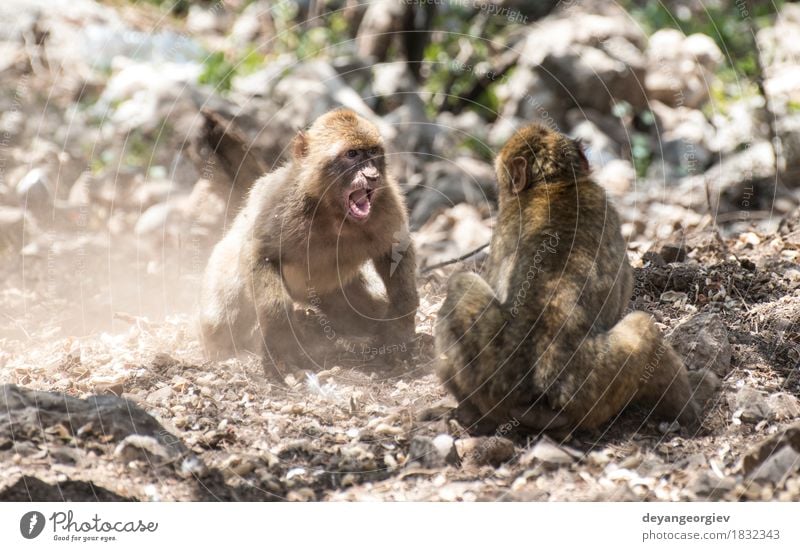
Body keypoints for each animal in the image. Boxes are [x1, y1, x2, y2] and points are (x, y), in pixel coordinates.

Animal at [199, 108, 418, 366]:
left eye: (373, 152)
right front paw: (282, 339)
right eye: (352, 154)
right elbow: (259, 254)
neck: (334, 211)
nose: (372, 175)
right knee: (224, 307)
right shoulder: (282, 205)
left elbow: (395, 249)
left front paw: (400, 325)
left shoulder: (387, 201)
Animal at [438, 125, 708, 436]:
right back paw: (691, 408)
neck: (551, 184)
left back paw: (470, 413)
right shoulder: (605, 206)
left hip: (496, 381)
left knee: (460, 285)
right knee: (644, 328)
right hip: (592, 389)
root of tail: (543, 384)